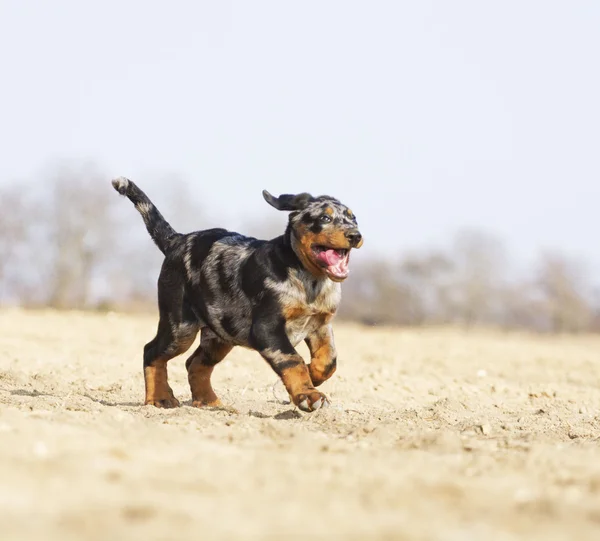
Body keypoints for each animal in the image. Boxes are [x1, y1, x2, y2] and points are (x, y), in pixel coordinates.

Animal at [113, 176, 366, 410]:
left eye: (353, 218)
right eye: (325, 218)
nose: (355, 235)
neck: (309, 279)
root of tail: (177, 239)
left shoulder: (320, 324)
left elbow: (329, 360)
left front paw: (313, 376)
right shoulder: (267, 328)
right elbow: (293, 359)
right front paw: (308, 395)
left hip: (220, 334)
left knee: (194, 363)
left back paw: (209, 402)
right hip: (180, 326)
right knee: (152, 351)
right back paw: (160, 398)